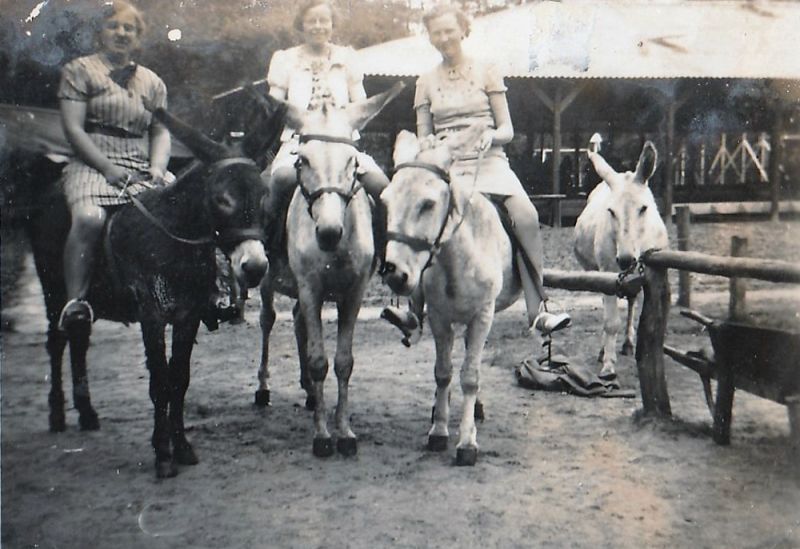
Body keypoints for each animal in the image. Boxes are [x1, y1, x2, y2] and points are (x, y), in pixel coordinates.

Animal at [27, 103, 284, 478]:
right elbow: (160, 382)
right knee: (57, 342)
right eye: (222, 199)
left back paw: (87, 413)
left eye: (264, 197)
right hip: (53, 290)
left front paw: (182, 447)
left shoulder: (188, 315)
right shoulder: (152, 315)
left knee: (78, 340)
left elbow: (179, 379)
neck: (173, 238)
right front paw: (163, 454)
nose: (254, 267)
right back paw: (58, 414)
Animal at [254, 83, 404, 458]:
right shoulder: (311, 289)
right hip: (266, 282)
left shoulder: (353, 294)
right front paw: (322, 436)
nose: (329, 232)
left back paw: (309, 393)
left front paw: (344, 431)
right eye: (302, 160)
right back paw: (263, 388)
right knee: (267, 321)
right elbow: (320, 361)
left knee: (297, 322)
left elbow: (343, 362)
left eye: (352, 161)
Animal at [380, 128, 524, 466]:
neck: (457, 258)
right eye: (385, 200)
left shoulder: (482, 315)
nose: (395, 274)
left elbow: (470, 375)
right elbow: (443, 373)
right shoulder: (439, 318)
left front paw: (467, 443)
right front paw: (439, 430)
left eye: (428, 204)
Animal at [573, 138, 669, 380]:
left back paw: (627, 343)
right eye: (611, 211)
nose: (625, 260)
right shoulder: (608, 271)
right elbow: (610, 322)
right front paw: (608, 365)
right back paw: (603, 350)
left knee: (632, 300)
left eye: (643, 208)